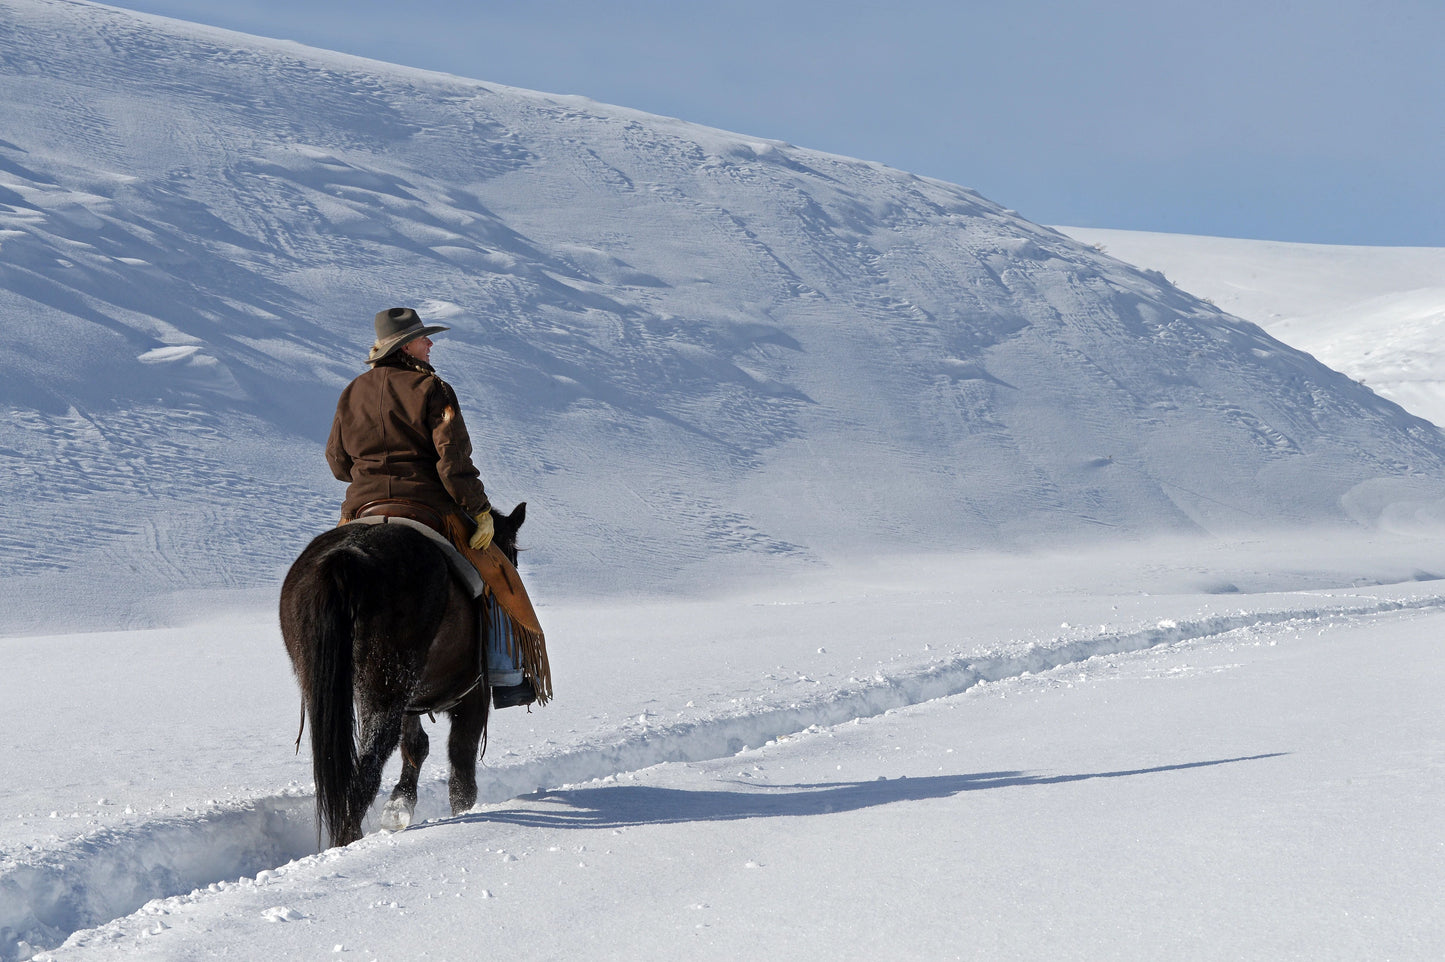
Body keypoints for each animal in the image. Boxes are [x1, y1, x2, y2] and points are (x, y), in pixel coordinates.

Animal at [278, 496, 528, 843]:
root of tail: (347, 557)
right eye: (511, 555)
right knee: (371, 761)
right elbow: (461, 764)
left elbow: (416, 745)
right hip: (388, 686)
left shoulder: (411, 699)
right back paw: (349, 836)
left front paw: (399, 806)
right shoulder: (473, 695)